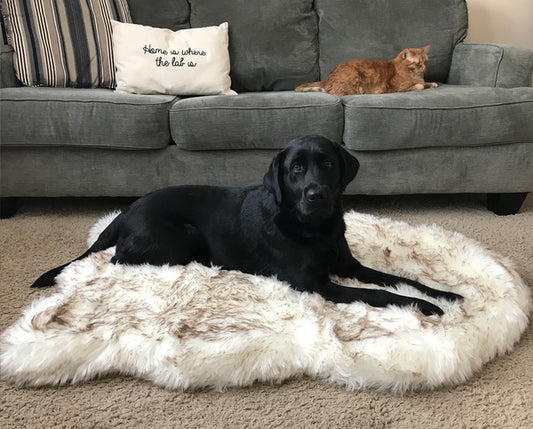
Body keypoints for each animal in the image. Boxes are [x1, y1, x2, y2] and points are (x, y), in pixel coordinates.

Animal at [31, 135, 460, 312]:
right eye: (295, 169)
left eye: (327, 163)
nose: (315, 195)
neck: (314, 228)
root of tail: (125, 212)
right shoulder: (317, 285)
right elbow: (382, 294)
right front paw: (426, 308)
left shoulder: (348, 265)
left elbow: (398, 278)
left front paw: (447, 295)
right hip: (181, 238)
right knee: (118, 259)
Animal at [296, 45, 436, 96]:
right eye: (418, 63)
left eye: (426, 62)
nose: (424, 68)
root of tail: (327, 79)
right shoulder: (397, 88)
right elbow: (419, 86)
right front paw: (423, 84)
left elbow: (425, 83)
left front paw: (432, 83)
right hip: (353, 77)